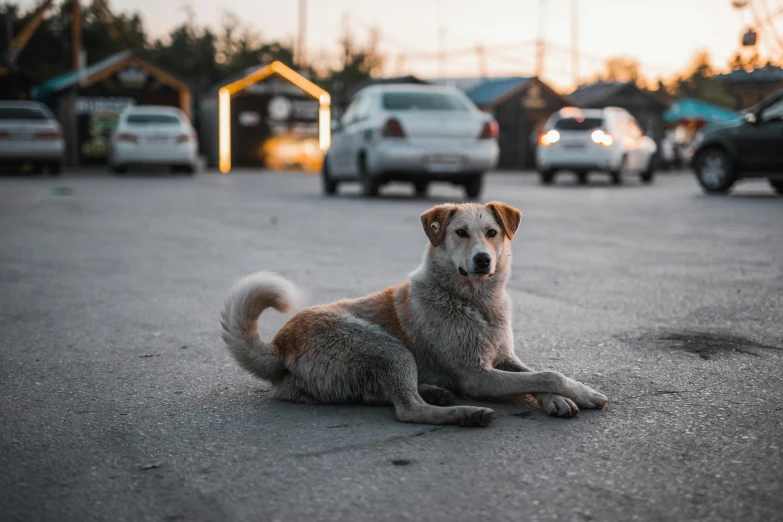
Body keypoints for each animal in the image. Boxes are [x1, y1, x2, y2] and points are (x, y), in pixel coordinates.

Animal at [220, 201, 612, 424]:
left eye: (492, 232)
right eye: (460, 233)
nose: (483, 260)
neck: (475, 303)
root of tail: (279, 344)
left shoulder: (504, 357)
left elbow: (538, 374)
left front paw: (565, 397)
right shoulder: (476, 376)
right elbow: (547, 374)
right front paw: (580, 393)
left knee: (380, 396)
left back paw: (437, 394)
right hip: (388, 349)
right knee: (408, 410)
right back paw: (465, 414)